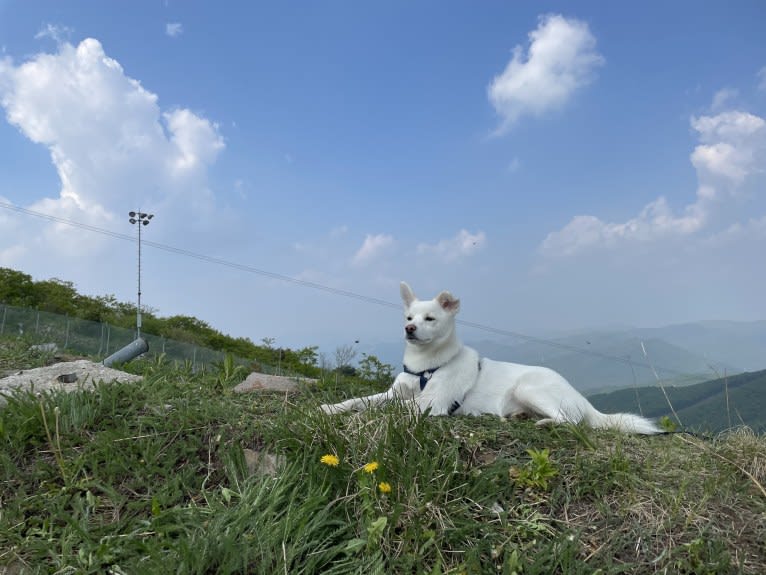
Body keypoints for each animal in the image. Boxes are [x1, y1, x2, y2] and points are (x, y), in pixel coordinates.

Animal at [320, 282, 664, 434]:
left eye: (430, 318)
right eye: (408, 317)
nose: (409, 329)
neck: (425, 367)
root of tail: (585, 402)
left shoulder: (430, 404)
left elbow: (385, 410)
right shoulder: (395, 393)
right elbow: (361, 400)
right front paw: (329, 408)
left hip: (530, 387)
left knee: (572, 422)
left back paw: (544, 422)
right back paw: (518, 416)